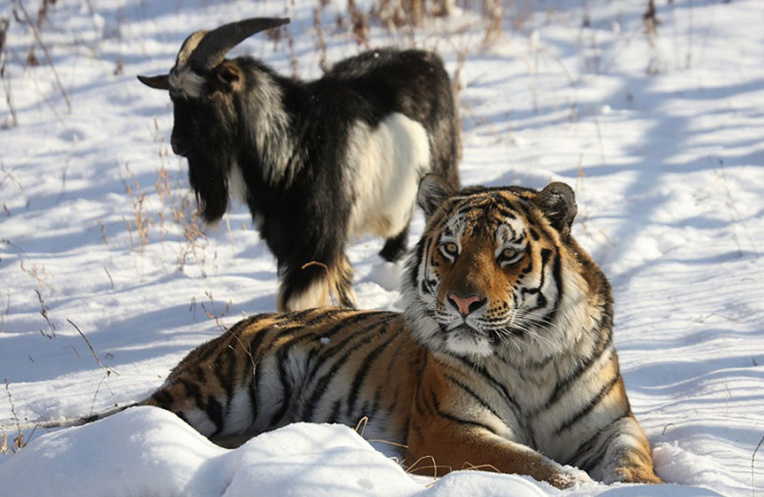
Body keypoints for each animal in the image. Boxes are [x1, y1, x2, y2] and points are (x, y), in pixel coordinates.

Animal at [47, 175, 661, 488]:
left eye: (508, 253)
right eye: (451, 249)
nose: (463, 301)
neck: (529, 354)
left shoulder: (613, 424)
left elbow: (632, 460)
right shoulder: (447, 429)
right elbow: (531, 464)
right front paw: (576, 483)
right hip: (224, 389)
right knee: (142, 419)